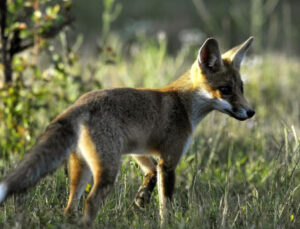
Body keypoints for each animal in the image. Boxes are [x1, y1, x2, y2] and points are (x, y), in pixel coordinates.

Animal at [0, 36, 255, 226]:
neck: (183, 104)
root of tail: (79, 103)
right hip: (107, 170)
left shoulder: (137, 150)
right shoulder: (169, 161)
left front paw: (140, 201)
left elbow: (150, 174)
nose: (251, 112)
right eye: (225, 90)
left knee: (69, 208)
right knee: (90, 202)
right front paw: (164, 221)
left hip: (81, 169)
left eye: (241, 88)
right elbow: (166, 205)